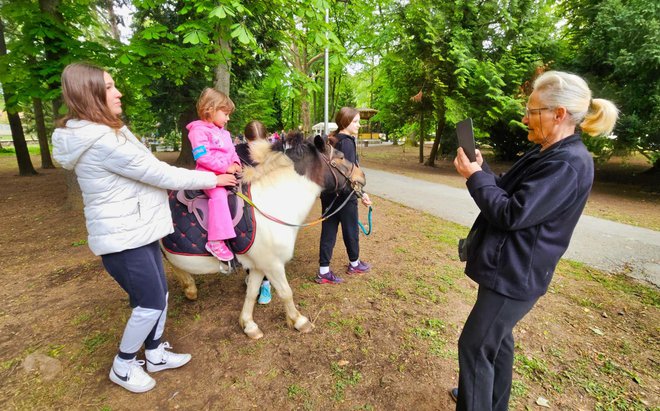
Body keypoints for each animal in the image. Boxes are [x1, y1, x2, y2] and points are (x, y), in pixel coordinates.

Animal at [160, 137, 366, 340]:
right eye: (340, 156)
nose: (362, 176)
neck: (270, 203)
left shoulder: (259, 266)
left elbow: (251, 293)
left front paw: (249, 325)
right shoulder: (272, 264)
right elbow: (286, 292)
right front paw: (299, 321)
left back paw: (189, 288)